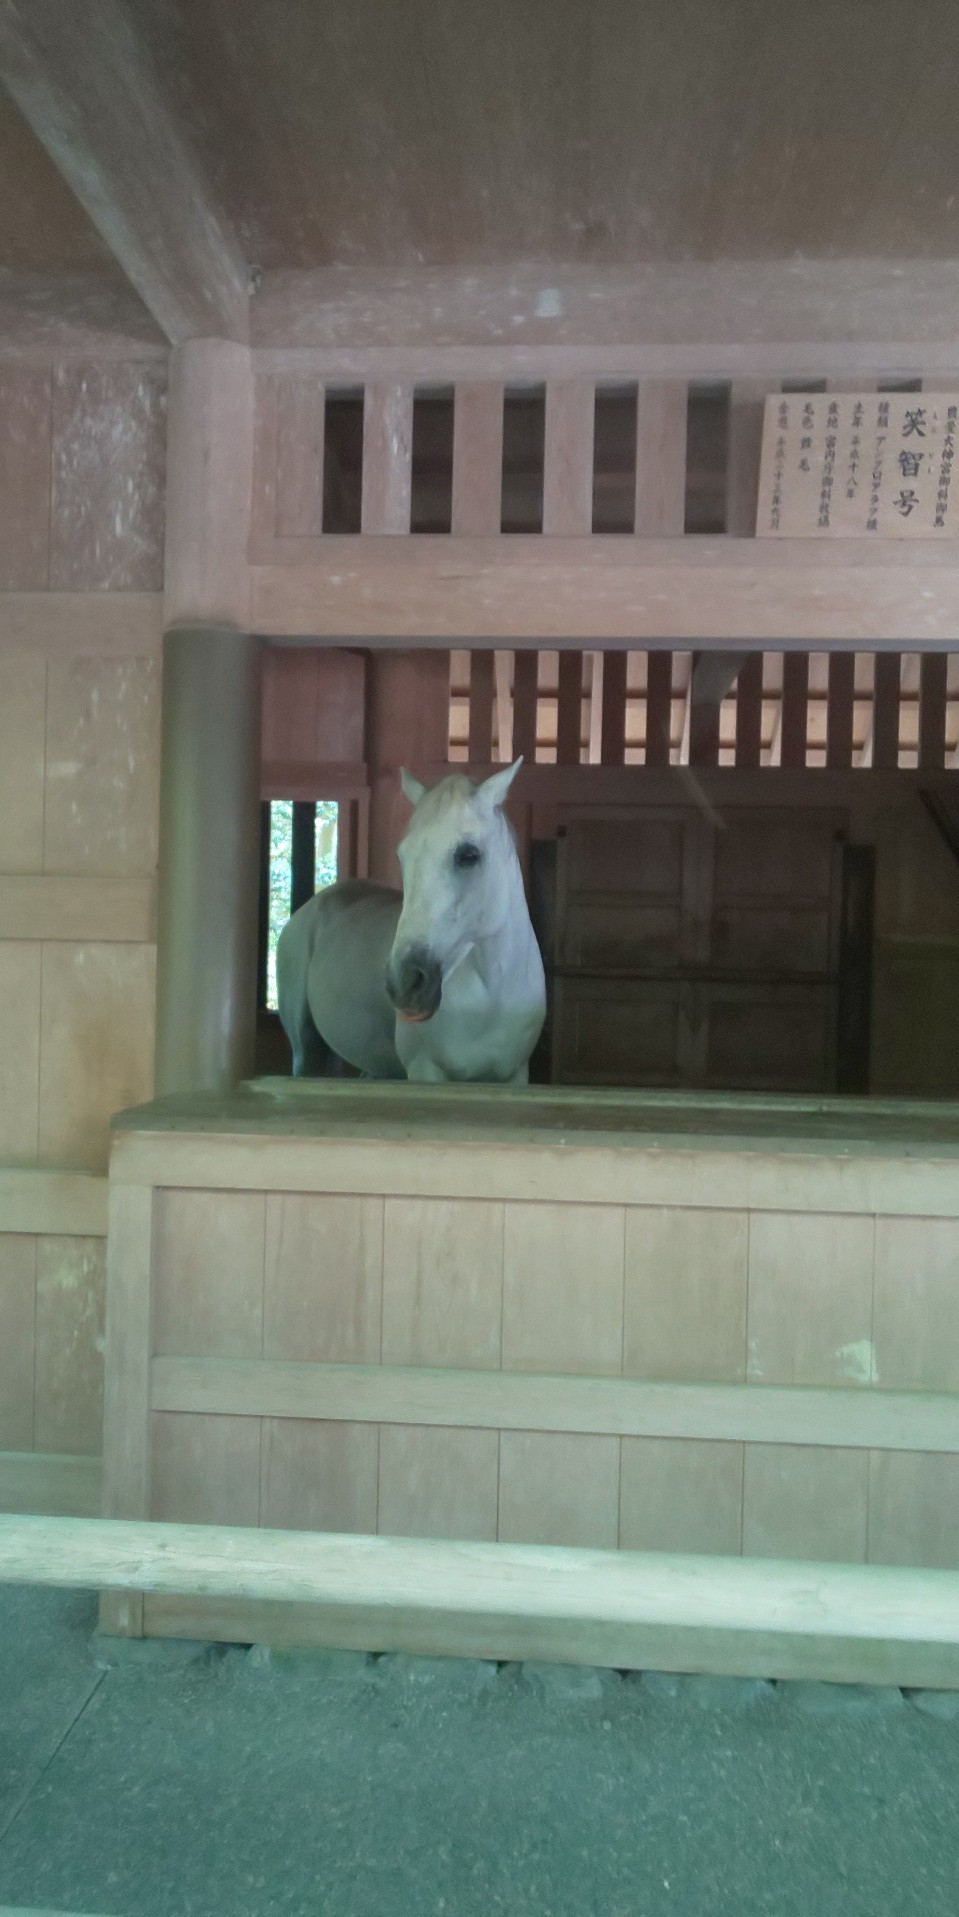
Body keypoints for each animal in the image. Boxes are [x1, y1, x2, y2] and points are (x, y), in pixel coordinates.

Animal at [275, 759, 547, 1084]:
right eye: (401, 856)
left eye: (469, 855)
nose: (405, 982)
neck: (491, 997)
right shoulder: (425, 1072)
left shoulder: (514, 1077)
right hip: (306, 1053)